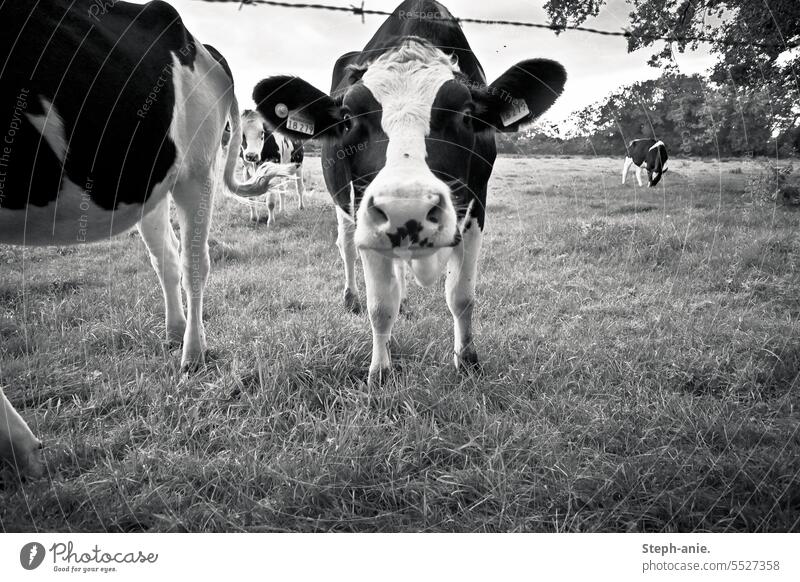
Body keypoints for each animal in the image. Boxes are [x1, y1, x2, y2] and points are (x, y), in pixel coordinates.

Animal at [0, 0, 286, 476]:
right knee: (167, 260)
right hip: (150, 187)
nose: (251, 151)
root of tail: (193, 39)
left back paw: (192, 353)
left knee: (194, 263)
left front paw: (23, 450)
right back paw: (175, 331)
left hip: (195, 171)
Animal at [248, 1, 564, 388]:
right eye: (348, 117)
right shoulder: (366, 214)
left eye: (465, 114)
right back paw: (351, 297)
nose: (406, 210)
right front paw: (379, 372)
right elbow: (380, 304)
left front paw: (467, 360)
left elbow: (461, 296)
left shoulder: (476, 208)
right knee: (346, 247)